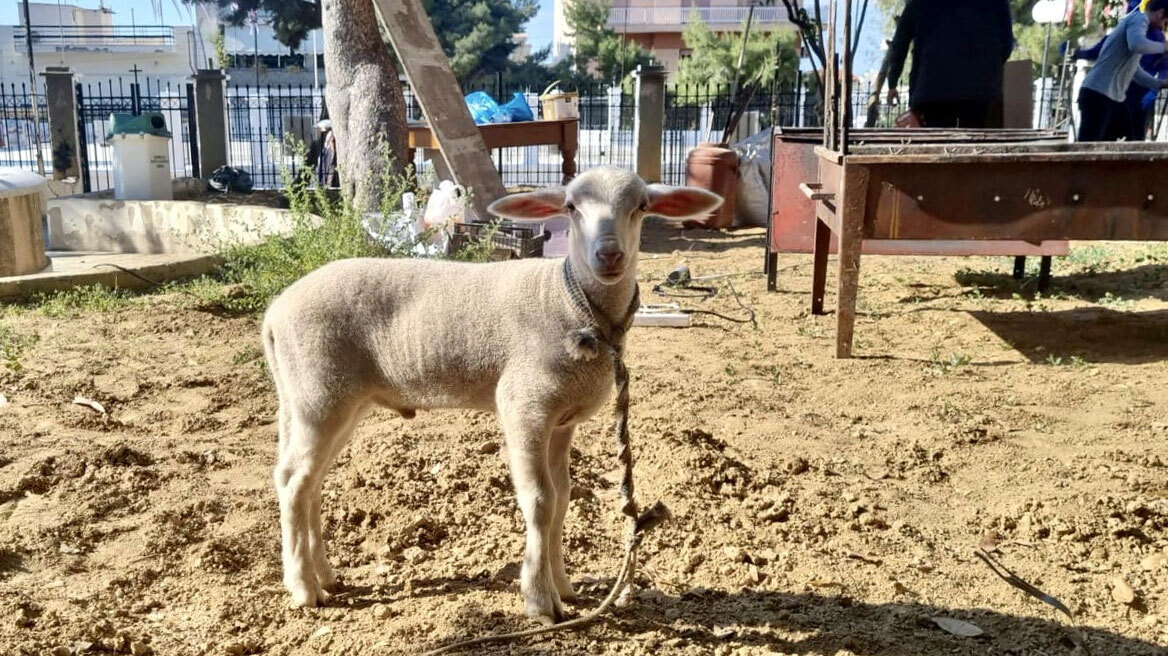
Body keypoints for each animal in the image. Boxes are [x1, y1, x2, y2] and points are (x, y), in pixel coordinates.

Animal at [263, 165, 719, 620]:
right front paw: (539, 600)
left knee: (308, 481)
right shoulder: (525, 406)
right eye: (571, 207)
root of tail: (275, 311)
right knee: (293, 482)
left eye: (641, 206)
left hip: (320, 400)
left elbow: (563, 498)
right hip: (320, 394)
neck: (571, 303)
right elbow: (540, 501)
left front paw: (564, 588)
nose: (608, 255)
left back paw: (325, 576)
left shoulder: (562, 420)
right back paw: (303, 587)